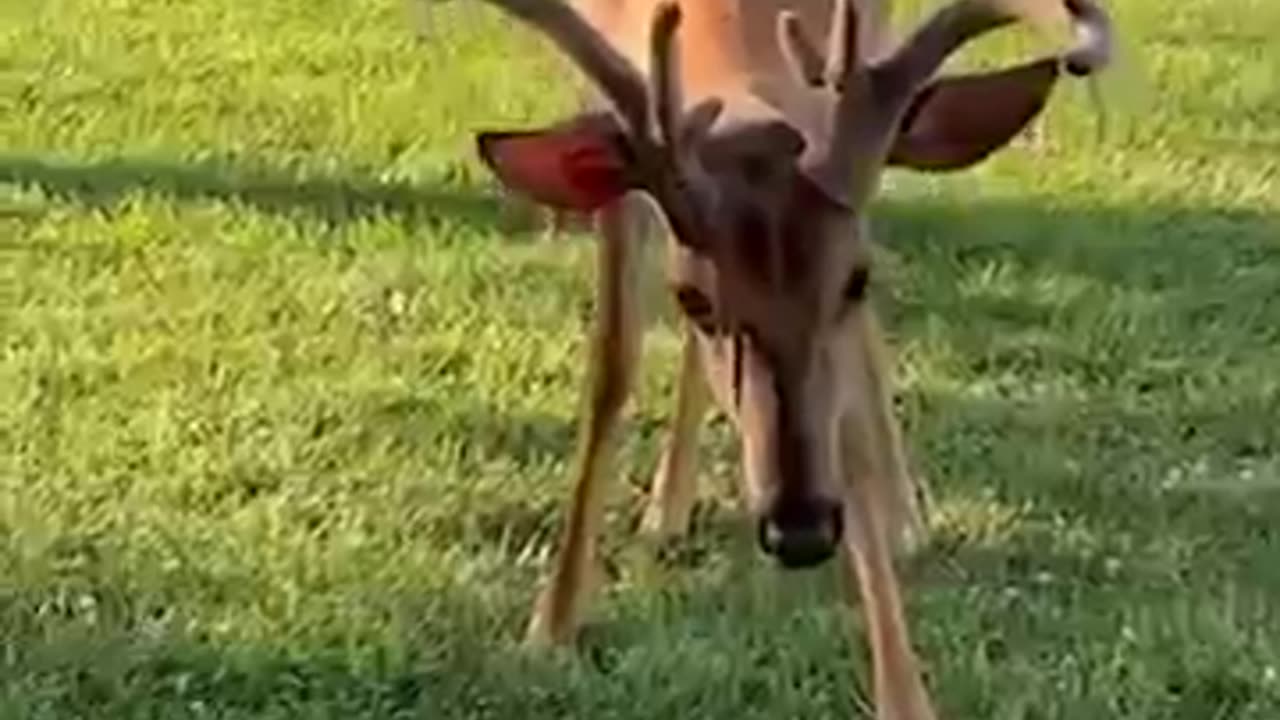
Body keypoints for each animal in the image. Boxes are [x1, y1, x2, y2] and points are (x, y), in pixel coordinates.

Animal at [463, 0, 1111, 712]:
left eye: (857, 279)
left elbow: (852, 423)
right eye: (691, 296)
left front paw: (904, 693)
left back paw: (900, 517)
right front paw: (552, 620)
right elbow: (612, 364)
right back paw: (667, 509)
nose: (800, 529)